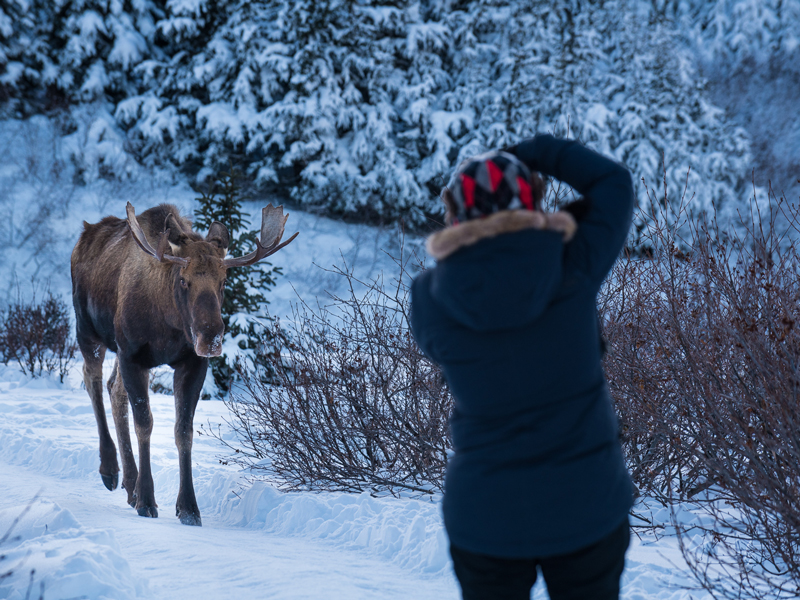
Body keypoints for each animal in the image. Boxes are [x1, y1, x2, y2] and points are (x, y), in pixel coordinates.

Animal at [71, 202, 296, 524]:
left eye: (224, 282)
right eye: (183, 280)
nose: (210, 337)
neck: (169, 324)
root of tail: (84, 235)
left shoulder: (192, 363)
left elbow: (184, 431)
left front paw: (188, 507)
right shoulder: (131, 355)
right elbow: (145, 424)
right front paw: (147, 500)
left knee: (114, 390)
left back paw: (130, 483)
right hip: (88, 330)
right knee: (93, 381)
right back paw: (111, 470)